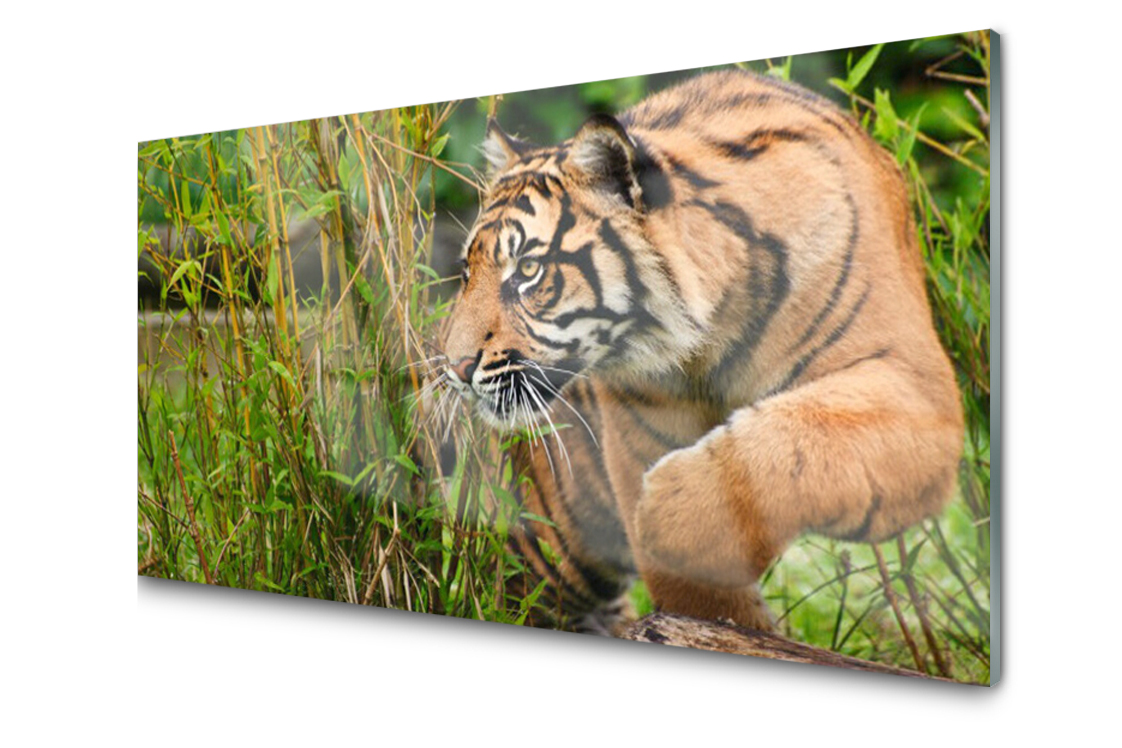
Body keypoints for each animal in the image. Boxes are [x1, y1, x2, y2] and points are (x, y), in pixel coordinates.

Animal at [438, 69, 964, 634]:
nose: (454, 367)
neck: (709, 339)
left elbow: (799, 437)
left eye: (529, 270)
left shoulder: (914, 388)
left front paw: (666, 514)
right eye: (467, 272)